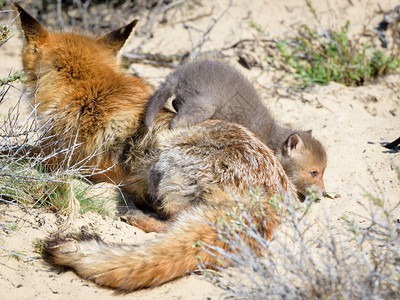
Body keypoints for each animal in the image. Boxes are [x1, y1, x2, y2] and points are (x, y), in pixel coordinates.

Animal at [14, 4, 296, 290]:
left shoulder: (61, 157)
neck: (88, 89)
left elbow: (17, 154)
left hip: (163, 168)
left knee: (174, 225)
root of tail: (268, 198)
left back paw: (138, 215)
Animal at [145, 61, 326, 197]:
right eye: (314, 173)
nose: (324, 194)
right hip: (204, 106)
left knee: (175, 104)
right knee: (176, 122)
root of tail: (179, 74)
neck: (271, 140)